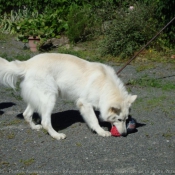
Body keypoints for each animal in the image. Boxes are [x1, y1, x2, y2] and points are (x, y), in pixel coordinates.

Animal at [0, 53, 137, 139]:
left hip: (38, 99)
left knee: (27, 114)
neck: (105, 85)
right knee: (45, 122)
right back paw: (56, 135)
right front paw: (101, 132)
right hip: (50, 98)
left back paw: (35, 127)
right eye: (119, 119)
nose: (124, 134)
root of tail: (27, 64)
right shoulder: (85, 104)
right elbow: (94, 120)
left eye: (126, 119)